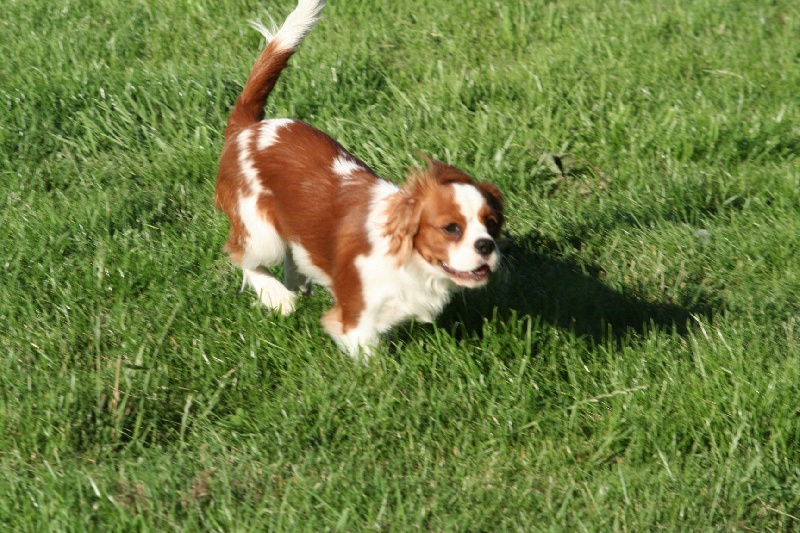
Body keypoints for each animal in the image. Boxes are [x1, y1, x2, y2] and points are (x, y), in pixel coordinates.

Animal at [216, 1, 504, 358]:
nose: (486, 245)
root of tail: (248, 127)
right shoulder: (355, 322)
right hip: (259, 232)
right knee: (243, 256)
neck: (408, 259)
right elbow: (371, 359)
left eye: (492, 225)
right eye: (451, 228)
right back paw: (278, 296)